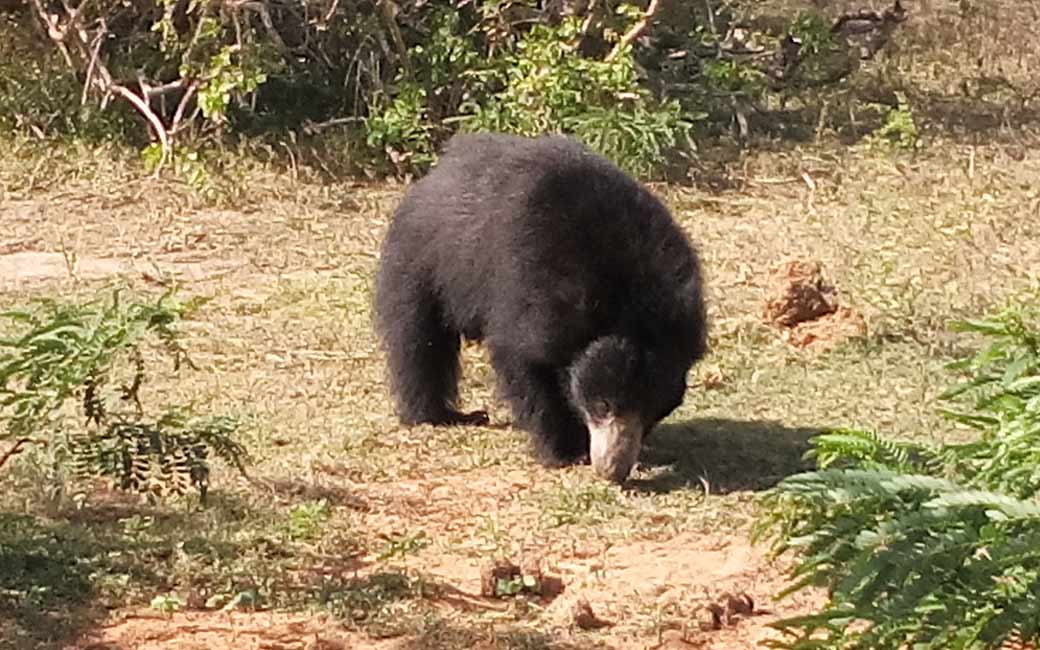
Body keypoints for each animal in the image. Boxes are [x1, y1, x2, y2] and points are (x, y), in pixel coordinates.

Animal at [374, 133, 707, 482]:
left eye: (651, 410)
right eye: (603, 405)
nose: (612, 470)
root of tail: (433, 175)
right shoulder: (530, 294)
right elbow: (527, 368)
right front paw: (564, 451)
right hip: (424, 263)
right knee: (418, 341)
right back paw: (441, 414)